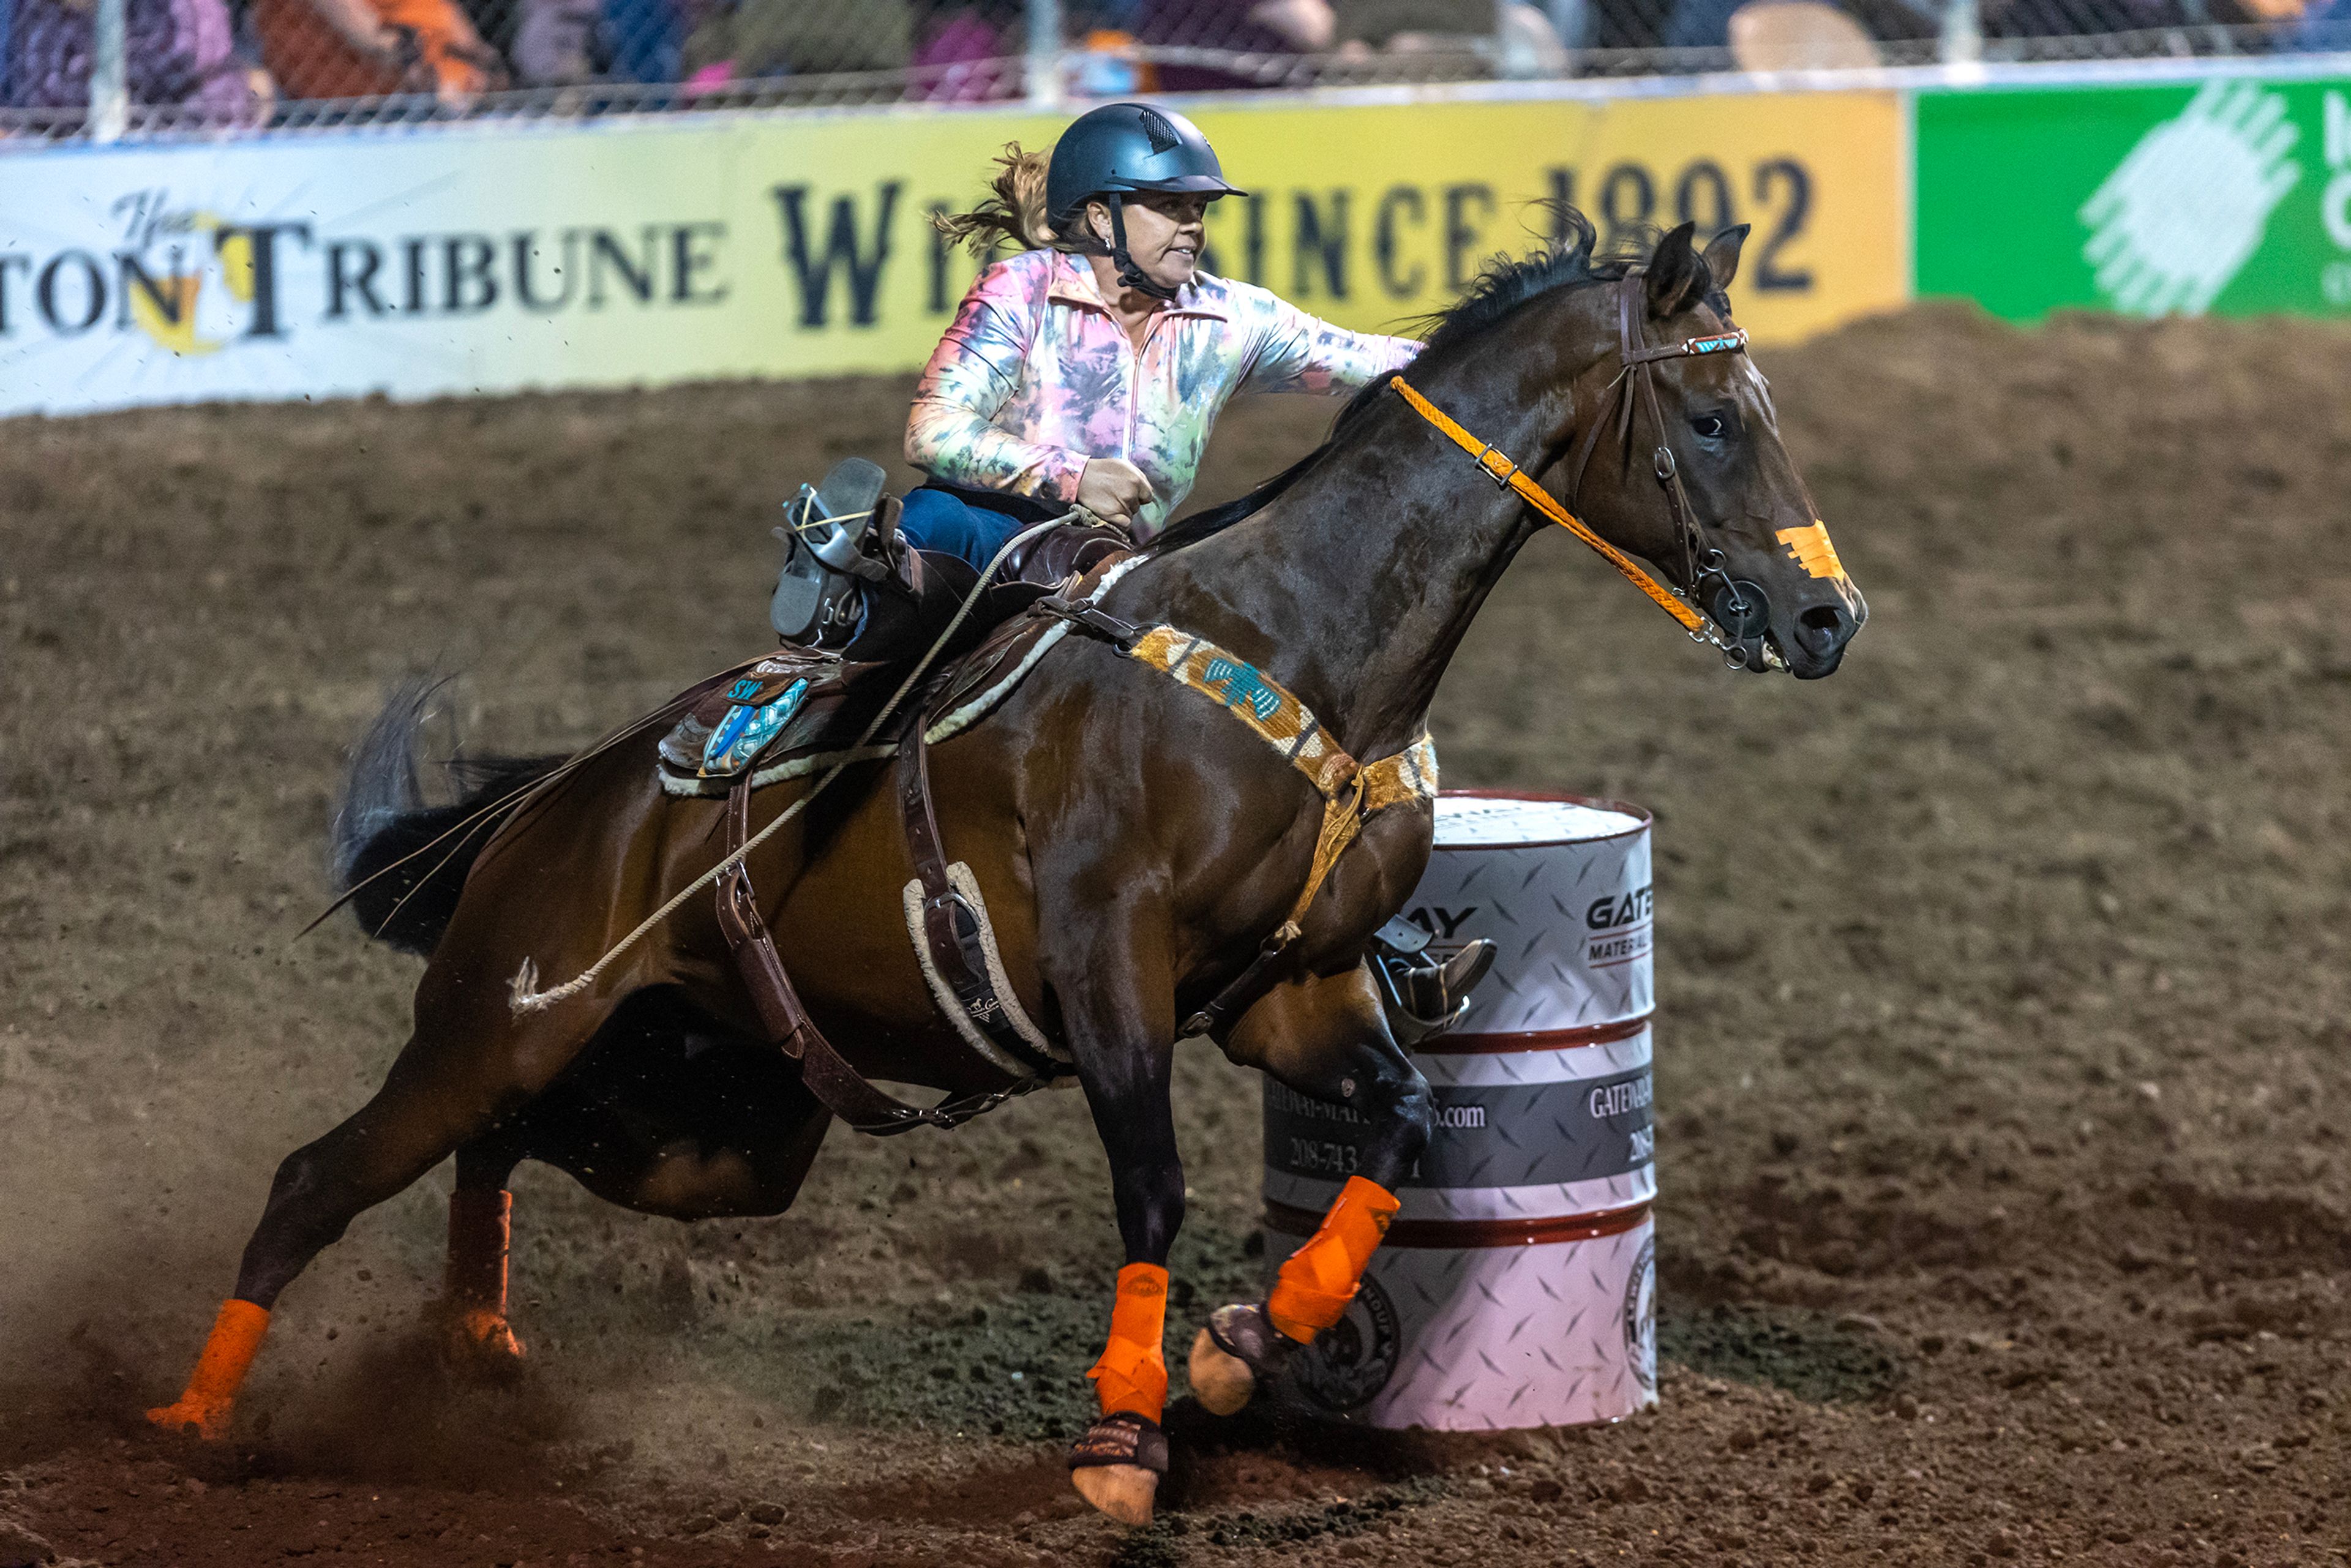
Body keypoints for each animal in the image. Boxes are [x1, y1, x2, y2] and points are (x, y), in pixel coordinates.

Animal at [151, 215, 1871, 1523]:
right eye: (1711, 420)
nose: (1828, 618)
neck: (1295, 646)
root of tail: (562, 803)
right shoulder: (1112, 963)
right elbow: (1151, 1180)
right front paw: (1122, 1432)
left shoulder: (1296, 985)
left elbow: (1390, 1124)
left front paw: (1242, 1343)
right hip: (506, 1014)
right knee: (324, 1174)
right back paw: (187, 1421)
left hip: (706, 1111)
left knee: (501, 1148)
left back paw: (472, 1338)